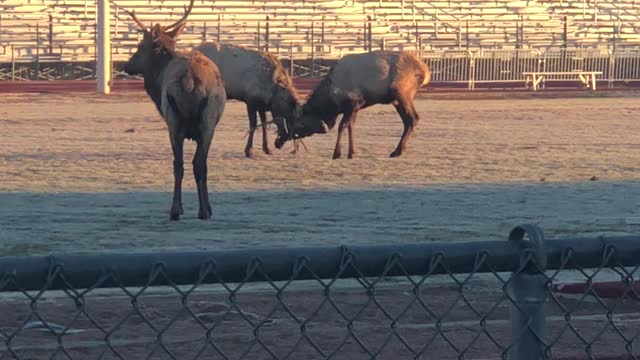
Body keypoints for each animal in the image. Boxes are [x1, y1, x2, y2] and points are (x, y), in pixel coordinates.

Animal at [124, 0, 226, 219]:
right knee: (193, 164)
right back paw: (196, 210)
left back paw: (181, 210)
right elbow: (201, 165)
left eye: (140, 46)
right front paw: (208, 207)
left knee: (182, 164)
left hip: (178, 121)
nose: (126, 65)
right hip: (201, 122)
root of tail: (189, 79)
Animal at [282, 50, 432, 159]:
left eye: (298, 123)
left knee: (413, 118)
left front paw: (337, 153)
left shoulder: (354, 103)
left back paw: (397, 151)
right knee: (408, 120)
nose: (284, 141)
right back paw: (399, 150)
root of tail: (425, 71)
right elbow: (351, 127)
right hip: (396, 100)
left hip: (401, 92)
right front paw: (351, 153)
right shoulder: (356, 107)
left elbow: (342, 126)